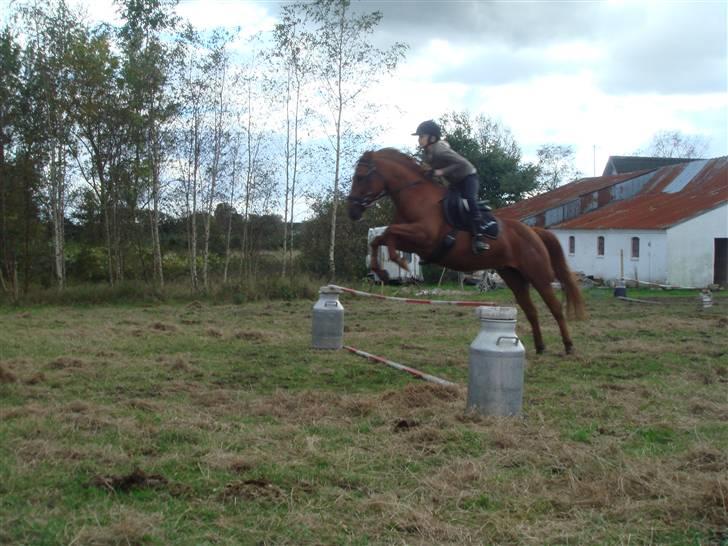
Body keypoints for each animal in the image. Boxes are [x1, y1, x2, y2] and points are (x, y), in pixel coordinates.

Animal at [346, 147, 584, 354]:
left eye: (360, 177)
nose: (352, 211)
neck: (416, 196)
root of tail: (533, 231)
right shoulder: (413, 241)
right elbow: (380, 239)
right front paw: (383, 270)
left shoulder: (424, 237)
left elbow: (389, 234)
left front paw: (398, 263)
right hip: (513, 276)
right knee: (531, 310)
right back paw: (540, 347)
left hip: (537, 274)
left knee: (555, 307)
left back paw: (569, 346)